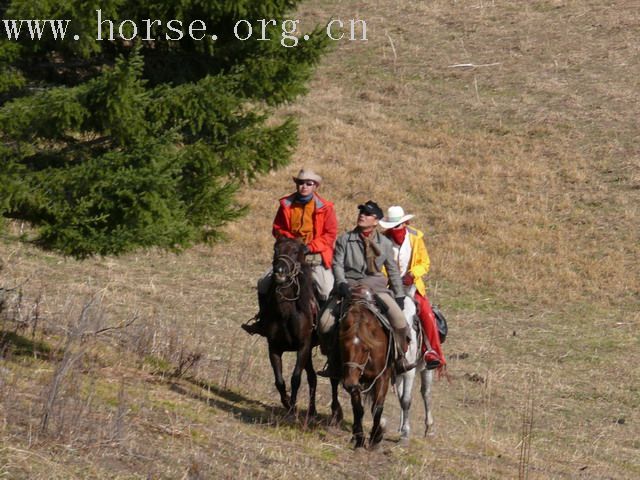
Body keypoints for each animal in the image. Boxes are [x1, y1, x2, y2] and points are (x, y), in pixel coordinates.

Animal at [262, 237, 318, 416]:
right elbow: (279, 380)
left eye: (295, 251)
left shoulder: (303, 347)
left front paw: (293, 407)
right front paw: (286, 402)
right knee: (313, 377)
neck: (286, 314)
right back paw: (312, 410)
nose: (279, 271)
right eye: (275, 249)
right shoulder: (273, 348)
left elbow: (295, 378)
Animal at [338, 284, 392, 448]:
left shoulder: (383, 376)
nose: (349, 383)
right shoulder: (355, 381)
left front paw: (375, 437)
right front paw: (359, 439)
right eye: (343, 347)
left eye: (366, 349)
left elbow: (377, 408)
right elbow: (358, 408)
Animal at [392, 302, 438, 444]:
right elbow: (401, 399)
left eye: (416, 321)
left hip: (426, 369)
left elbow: (406, 400)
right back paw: (400, 427)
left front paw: (405, 434)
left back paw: (429, 429)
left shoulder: (409, 372)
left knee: (426, 393)